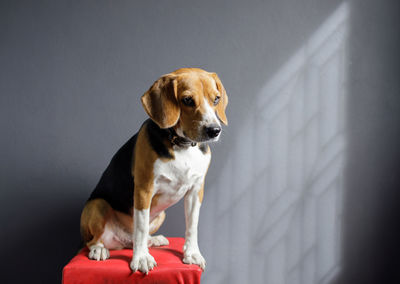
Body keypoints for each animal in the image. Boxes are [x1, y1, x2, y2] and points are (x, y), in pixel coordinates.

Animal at [79, 67, 228, 272]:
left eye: (216, 99)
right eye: (187, 100)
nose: (214, 130)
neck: (182, 146)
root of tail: (120, 239)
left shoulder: (195, 191)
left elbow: (192, 226)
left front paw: (192, 253)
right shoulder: (144, 190)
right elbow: (141, 227)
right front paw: (141, 258)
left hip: (160, 215)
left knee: (133, 240)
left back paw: (153, 240)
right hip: (97, 205)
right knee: (94, 240)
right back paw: (100, 249)